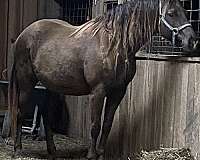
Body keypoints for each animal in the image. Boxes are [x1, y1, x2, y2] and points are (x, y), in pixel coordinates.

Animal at [9, 0, 197, 159]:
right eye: (171, 13)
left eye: (184, 10)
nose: (193, 41)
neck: (114, 45)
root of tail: (22, 36)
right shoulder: (98, 92)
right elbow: (95, 125)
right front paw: (91, 155)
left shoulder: (118, 92)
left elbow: (107, 124)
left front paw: (100, 153)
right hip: (26, 83)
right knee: (20, 112)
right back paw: (18, 149)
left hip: (51, 87)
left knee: (47, 116)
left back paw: (52, 150)